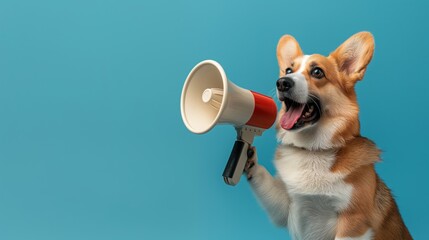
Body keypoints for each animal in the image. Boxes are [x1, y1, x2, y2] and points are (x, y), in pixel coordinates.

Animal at [242, 32, 410, 240]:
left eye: (317, 72)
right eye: (288, 70)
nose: (282, 82)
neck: (313, 150)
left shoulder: (353, 223)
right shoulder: (286, 205)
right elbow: (265, 182)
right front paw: (250, 159)